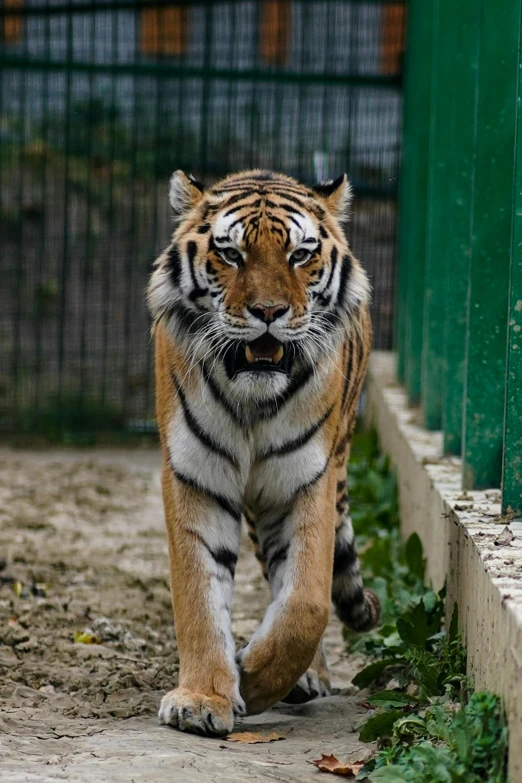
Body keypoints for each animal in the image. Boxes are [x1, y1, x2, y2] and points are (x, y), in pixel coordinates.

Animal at [146, 168, 378, 740]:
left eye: (300, 255)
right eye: (230, 254)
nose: (269, 313)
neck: (252, 397)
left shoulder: (306, 481)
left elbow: (306, 602)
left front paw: (252, 678)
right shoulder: (195, 477)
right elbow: (198, 594)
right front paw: (203, 698)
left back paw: (305, 676)